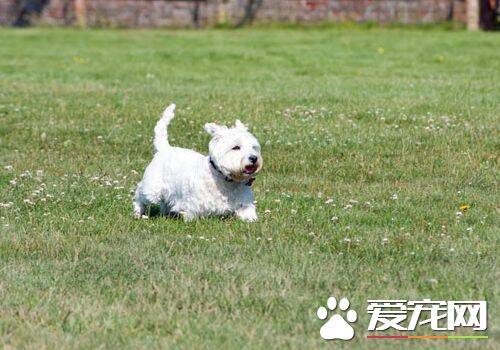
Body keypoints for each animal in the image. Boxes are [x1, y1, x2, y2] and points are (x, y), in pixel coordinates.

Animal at [135, 104, 264, 221]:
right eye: (236, 147)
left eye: (253, 147)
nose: (254, 158)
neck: (226, 180)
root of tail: (164, 148)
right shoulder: (194, 204)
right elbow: (192, 216)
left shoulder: (244, 203)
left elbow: (248, 214)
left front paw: (252, 220)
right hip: (152, 189)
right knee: (139, 193)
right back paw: (137, 213)